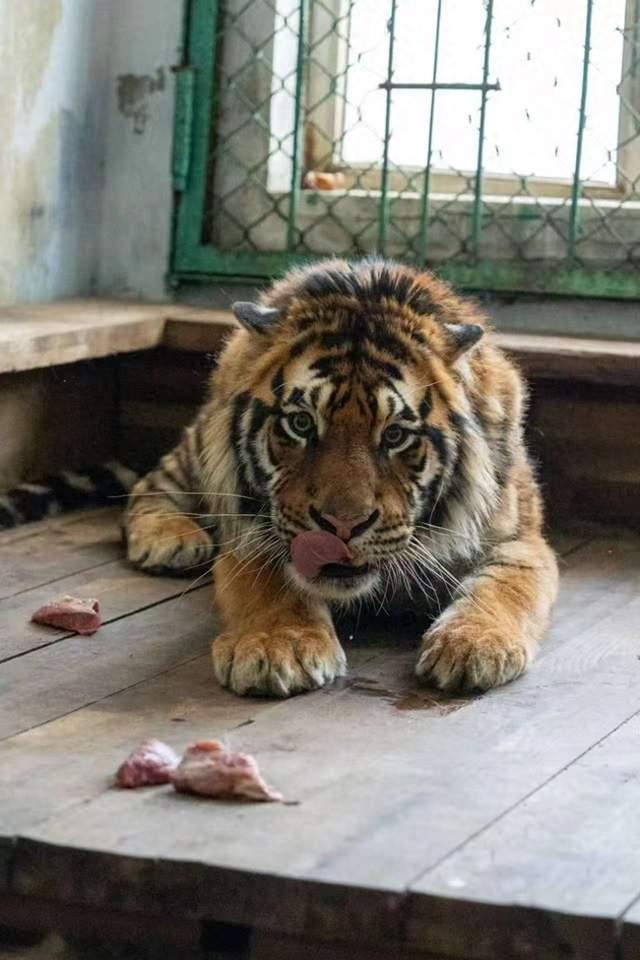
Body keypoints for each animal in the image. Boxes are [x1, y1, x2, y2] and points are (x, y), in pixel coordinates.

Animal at [124, 258, 559, 698]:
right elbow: (271, 577)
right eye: (301, 423)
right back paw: (171, 540)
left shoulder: (518, 538)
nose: (343, 526)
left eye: (395, 435)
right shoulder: (251, 531)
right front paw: (278, 646)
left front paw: (474, 645)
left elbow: (504, 585)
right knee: (150, 484)